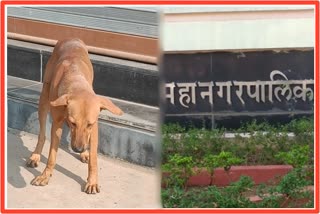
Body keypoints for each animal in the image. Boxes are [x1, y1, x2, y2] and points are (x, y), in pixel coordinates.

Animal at [26, 38, 123, 194]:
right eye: (73, 123)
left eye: (90, 124)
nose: (78, 149)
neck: (76, 80)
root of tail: (71, 38)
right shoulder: (57, 124)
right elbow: (52, 155)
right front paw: (45, 175)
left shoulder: (94, 128)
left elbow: (94, 159)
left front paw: (92, 181)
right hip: (44, 98)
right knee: (42, 134)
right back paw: (36, 155)